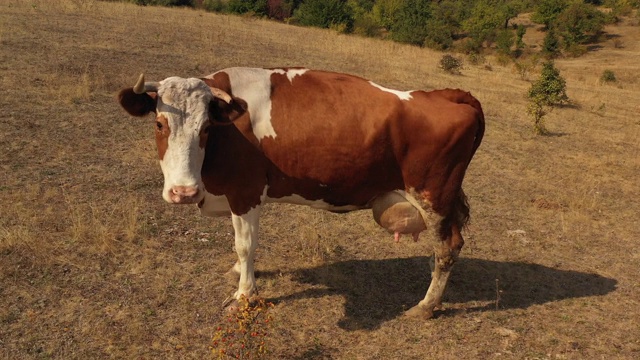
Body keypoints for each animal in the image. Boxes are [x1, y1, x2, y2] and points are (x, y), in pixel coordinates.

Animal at [116, 67, 484, 318]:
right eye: (159, 124)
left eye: (206, 128)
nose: (183, 192)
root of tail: (445, 94)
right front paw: (239, 272)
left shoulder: (245, 191)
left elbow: (245, 245)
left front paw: (244, 293)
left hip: (434, 196)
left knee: (447, 248)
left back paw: (426, 306)